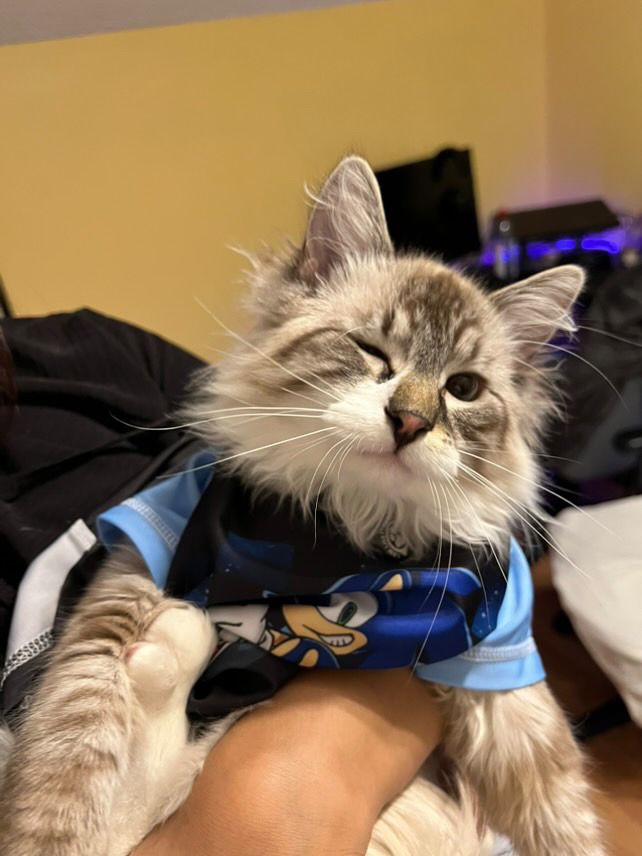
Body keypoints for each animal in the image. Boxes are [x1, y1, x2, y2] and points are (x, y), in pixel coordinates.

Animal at [0, 156, 605, 856]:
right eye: (372, 352)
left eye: (463, 389)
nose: (410, 422)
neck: (352, 540)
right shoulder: (138, 569)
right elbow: (68, 762)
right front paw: (53, 833)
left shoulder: (502, 663)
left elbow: (562, 818)